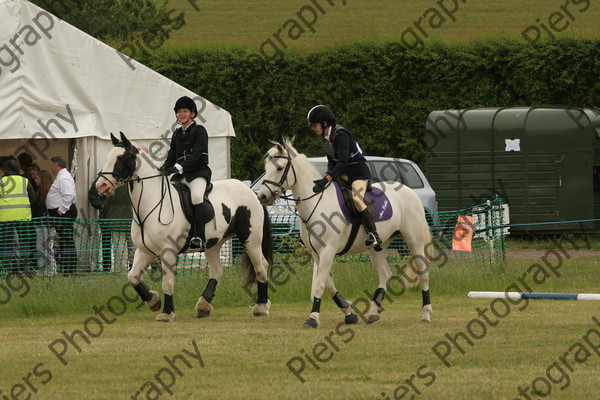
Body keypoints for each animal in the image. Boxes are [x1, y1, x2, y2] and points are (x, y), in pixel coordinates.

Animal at [96, 133, 274, 324]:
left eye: (121, 158)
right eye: (107, 158)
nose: (101, 186)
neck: (152, 203)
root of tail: (252, 192)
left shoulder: (167, 251)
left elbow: (167, 283)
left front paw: (166, 313)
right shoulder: (144, 251)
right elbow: (133, 277)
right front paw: (153, 301)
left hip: (250, 239)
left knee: (261, 267)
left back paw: (261, 307)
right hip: (213, 244)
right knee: (217, 271)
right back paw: (203, 306)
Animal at [258, 141, 432, 328]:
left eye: (279, 168)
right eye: (266, 167)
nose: (262, 196)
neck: (317, 201)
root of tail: (409, 191)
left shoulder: (328, 251)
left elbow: (320, 285)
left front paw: (313, 318)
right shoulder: (317, 253)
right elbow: (328, 284)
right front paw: (349, 313)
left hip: (413, 240)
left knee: (423, 272)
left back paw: (426, 313)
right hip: (377, 247)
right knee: (385, 274)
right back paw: (373, 311)